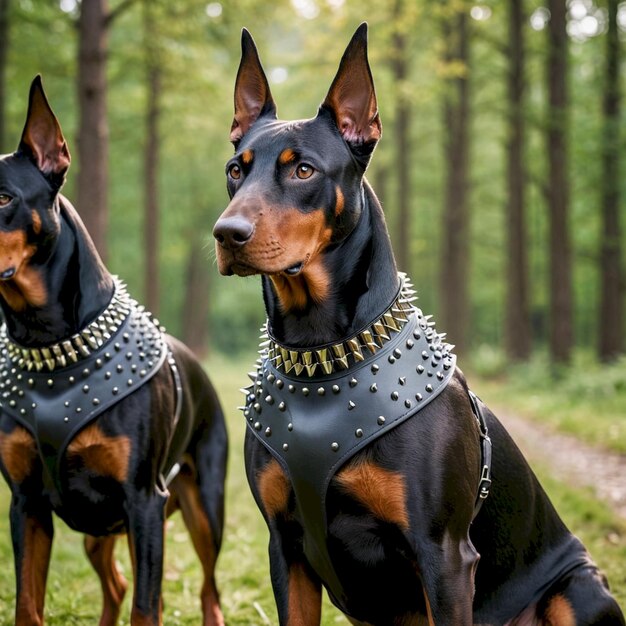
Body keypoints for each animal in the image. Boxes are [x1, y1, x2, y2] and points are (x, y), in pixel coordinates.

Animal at [0, 77, 227, 624]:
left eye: (2, 196)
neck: (50, 344)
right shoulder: (26, 503)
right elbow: (27, 604)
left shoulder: (143, 500)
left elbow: (147, 608)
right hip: (100, 529)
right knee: (116, 583)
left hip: (202, 507)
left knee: (206, 587)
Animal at [212, 23, 620, 624]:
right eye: (235, 170)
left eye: (303, 169)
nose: (227, 233)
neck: (322, 352)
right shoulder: (285, 548)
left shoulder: (443, 554)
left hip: (578, 588)